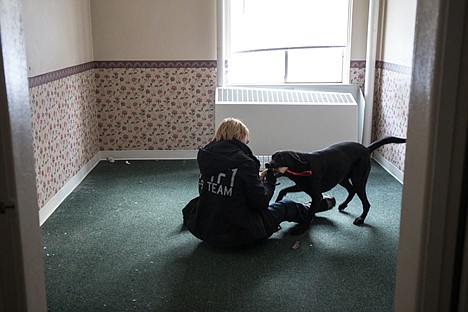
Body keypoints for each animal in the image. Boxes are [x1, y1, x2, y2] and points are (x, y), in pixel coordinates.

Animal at [266, 136, 406, 234]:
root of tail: (366, 149)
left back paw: (360, 219)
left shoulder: (316, 195)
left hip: (358, 181)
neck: (303, 167)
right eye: (272, 156)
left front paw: (302, 228)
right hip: (342, 178)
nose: (267, 164)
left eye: (281, 158)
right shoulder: (301, 186)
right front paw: (278, 200)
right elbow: (283, 190)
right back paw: (343, 205)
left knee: (366, 203)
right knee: (351, 191)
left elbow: (309, 213)